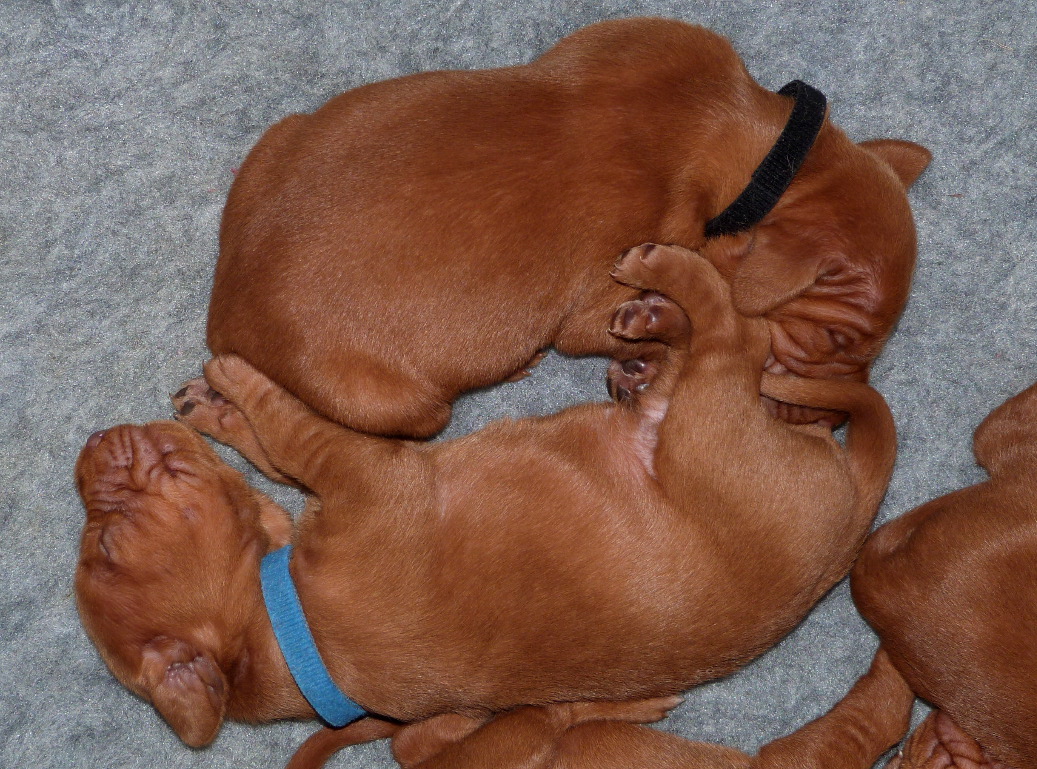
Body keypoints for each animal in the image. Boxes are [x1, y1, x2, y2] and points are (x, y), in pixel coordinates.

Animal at [77, 245, 897, 750]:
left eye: (100, 542)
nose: (87, 449)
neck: (283, 622)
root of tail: (859, 502)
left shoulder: (351, 467)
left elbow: (277, 439)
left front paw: (218, 400)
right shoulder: (361, 467)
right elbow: (291, 426)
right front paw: (236, 380)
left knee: (724, 343)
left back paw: (648, 319)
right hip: (704, 427)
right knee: (734, 336)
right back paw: (664, 283)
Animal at [207, 17, 929, 437]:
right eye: (836, 339)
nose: (833, 418)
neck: (760, 155)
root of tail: (225, 318)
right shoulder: (592, 311)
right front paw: (653, 345)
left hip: (277, 139)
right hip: (396, 405)